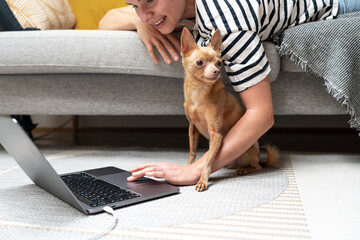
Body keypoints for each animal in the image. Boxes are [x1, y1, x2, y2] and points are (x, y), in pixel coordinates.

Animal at [180, 28, 278, 192]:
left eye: (219, 63)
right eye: (200, 62)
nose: (216, 71)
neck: (199, 92)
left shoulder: (216, 134)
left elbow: (208, 161)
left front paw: (202, 180)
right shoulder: (193, 128)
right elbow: (192, 152)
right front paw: (188, 167)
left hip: (245, 151)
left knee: (257, 166)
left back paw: (246, 169)